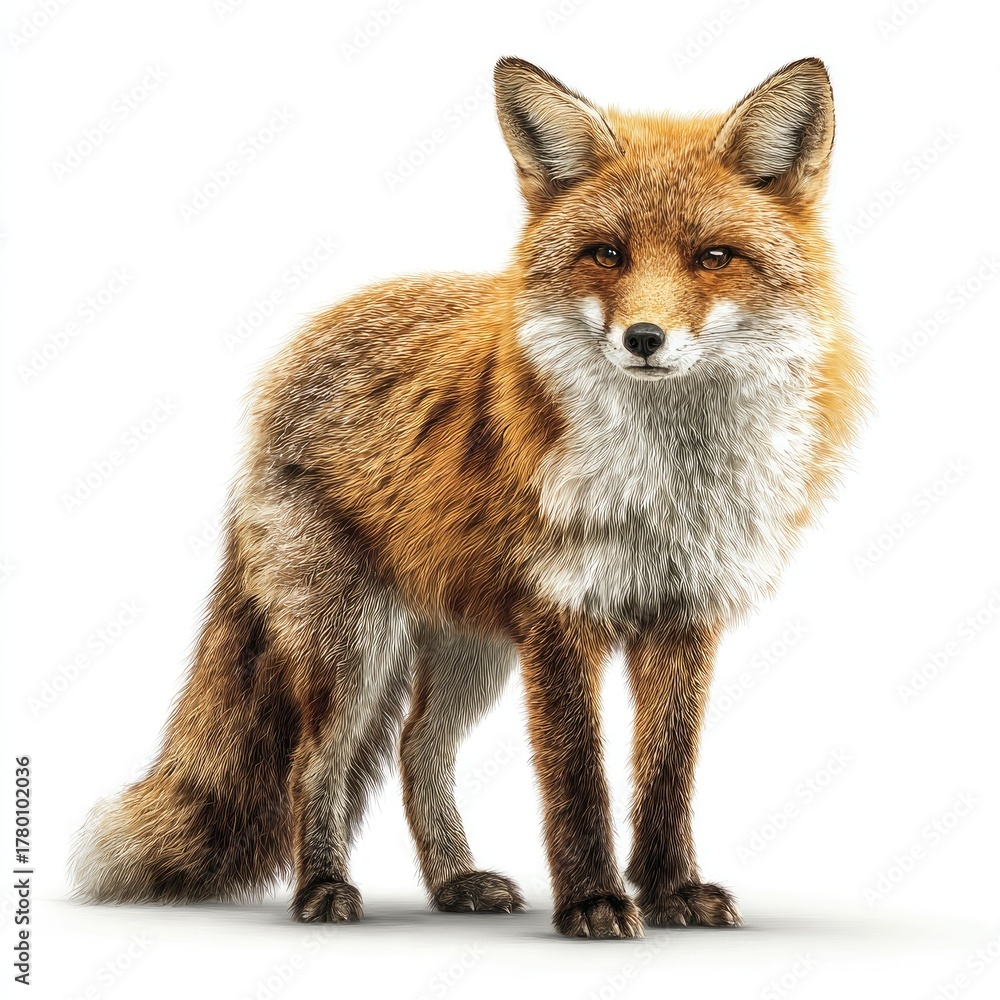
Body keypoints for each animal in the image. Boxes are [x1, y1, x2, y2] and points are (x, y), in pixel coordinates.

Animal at [72, 56, 868, 938]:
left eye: (714, 257)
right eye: (606, 254)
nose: (643, 339)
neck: (666, 481)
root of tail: (297, 349)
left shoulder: (685, 616)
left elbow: (667, 775)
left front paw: (671, 892)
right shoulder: (560, 617)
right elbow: (577, 778)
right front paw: (593, 901)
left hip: (471, 648)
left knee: (418, 750)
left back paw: (454, 880)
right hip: (354, 646)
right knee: (316, 762)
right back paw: (324, 890)